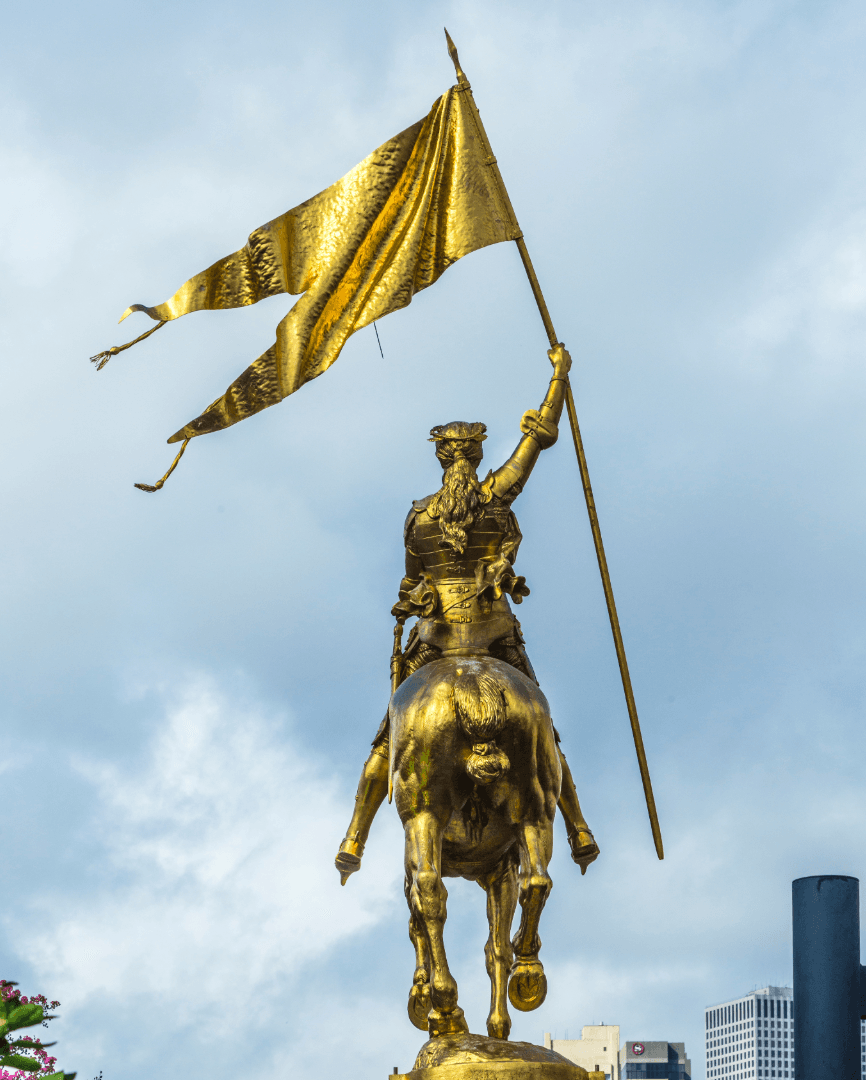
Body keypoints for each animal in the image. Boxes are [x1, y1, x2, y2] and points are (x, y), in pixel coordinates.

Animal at [386, 652, 561, 1041]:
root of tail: (472, 675)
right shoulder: (500, 873)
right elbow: (495, 949)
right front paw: (498, 1025)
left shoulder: (416, 866)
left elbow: (419, 924)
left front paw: (423, 994)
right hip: (534, 804)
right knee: (537, 881)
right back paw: (527, 971)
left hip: (423, 813)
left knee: (429, 890)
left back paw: (446, 1008)